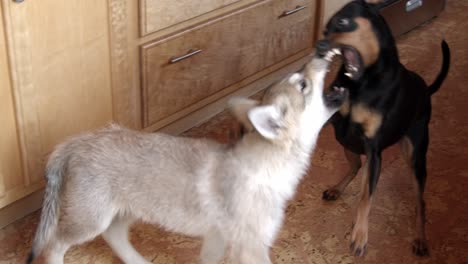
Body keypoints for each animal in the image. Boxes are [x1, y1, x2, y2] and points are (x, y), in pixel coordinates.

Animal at [27, 53, 346, 264]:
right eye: (303, 85)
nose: (321, 55)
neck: (266, 164)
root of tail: (73, 143)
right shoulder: (252, 245)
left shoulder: (218, 239)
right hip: (90, 218)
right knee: (54, 246)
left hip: (125, 209)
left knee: (114, 235)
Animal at [316, 0, 452, 256]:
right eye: (325, 28)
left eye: (342, 21)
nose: (319, 46)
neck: (361, 83)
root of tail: (426, 90)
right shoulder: (333, 122)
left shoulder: (374, 150)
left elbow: (365, 197)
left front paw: (360, 235)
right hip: (346, 142)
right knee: (356, 166)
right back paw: (337, 189)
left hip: (414, 157)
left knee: (420, 202)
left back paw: (421, 239)